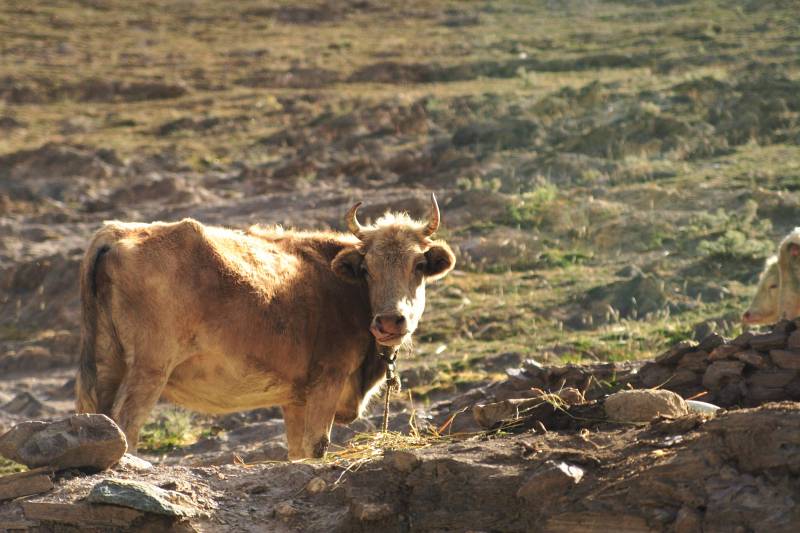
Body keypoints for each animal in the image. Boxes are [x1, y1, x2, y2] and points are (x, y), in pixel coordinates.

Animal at [77, 195, 454, 458]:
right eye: (366, 269)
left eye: (419, 265)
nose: (390, 321)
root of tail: (116, 232)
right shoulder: (327, 381)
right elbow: (316, 446)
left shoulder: (296, 400)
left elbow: (297, 450)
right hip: (149, 369)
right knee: (126, 425)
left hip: (107, 365)